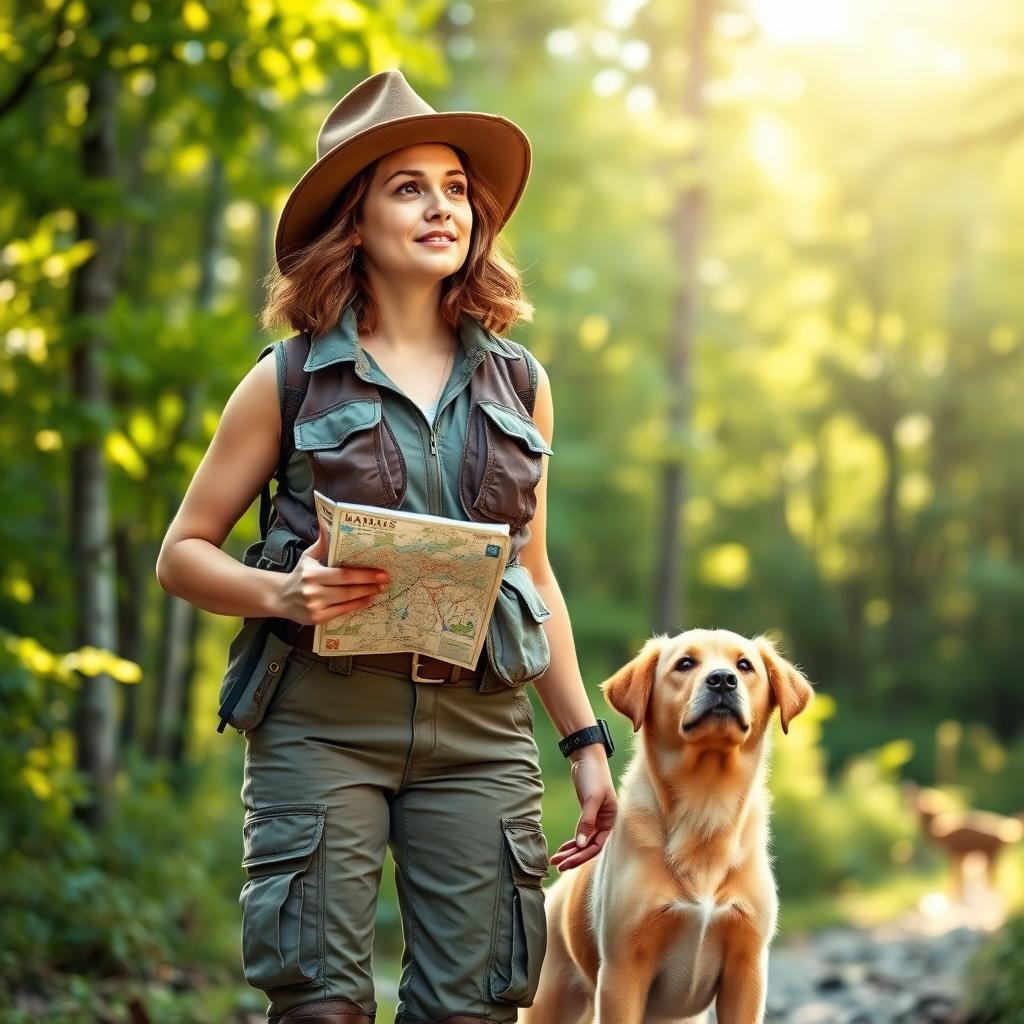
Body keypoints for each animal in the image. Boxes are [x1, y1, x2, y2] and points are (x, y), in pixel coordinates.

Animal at [524, 626, 811, 1019]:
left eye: (744, 665)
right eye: (685, 663)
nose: (722, 680)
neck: (705, 807)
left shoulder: (747, 968)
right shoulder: (622, 972)